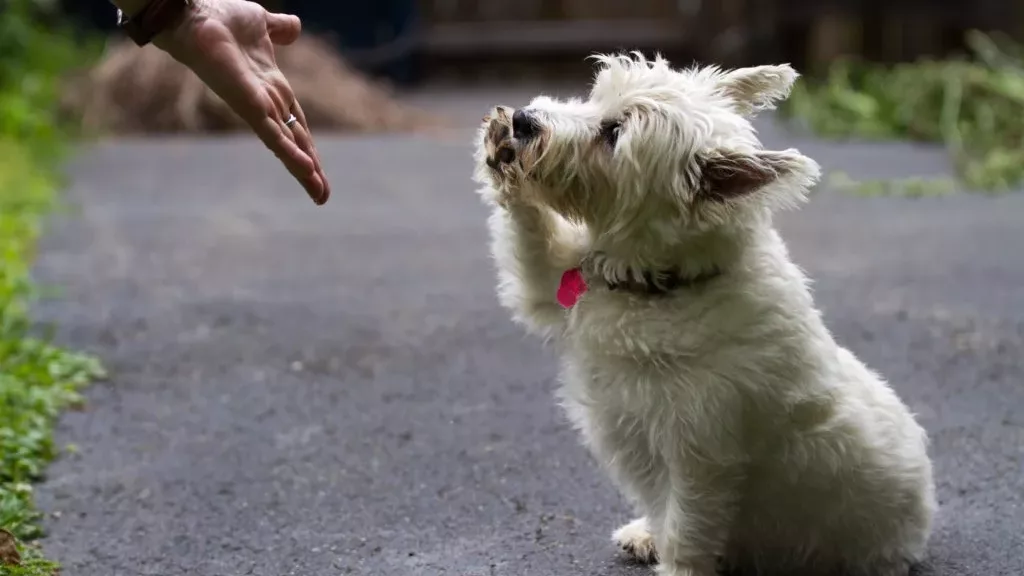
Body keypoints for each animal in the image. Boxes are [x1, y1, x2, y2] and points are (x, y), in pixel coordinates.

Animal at [471, 53, 937, 573]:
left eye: (614, 133)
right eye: (595, 97)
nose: (523, 120)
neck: (661, 284)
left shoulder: (702, 456)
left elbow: (687, 530)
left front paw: (676, 566)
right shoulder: (549, 289)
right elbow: (529, 240)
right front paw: (497, 150)